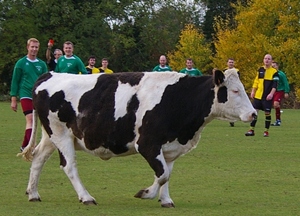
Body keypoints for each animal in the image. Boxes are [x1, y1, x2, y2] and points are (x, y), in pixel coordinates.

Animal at [18, 69, 256, 208]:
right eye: (235, 91)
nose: (254, 114)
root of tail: (49, 74)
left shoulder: (169, 147)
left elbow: (167, 174)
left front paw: (166, 200)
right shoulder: (148, 144)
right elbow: (162, 174)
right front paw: (146, 193)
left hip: (51, 136)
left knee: (38, 158)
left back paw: (33, 193)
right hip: (61, 134)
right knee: (69, 166)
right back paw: (86, 197)